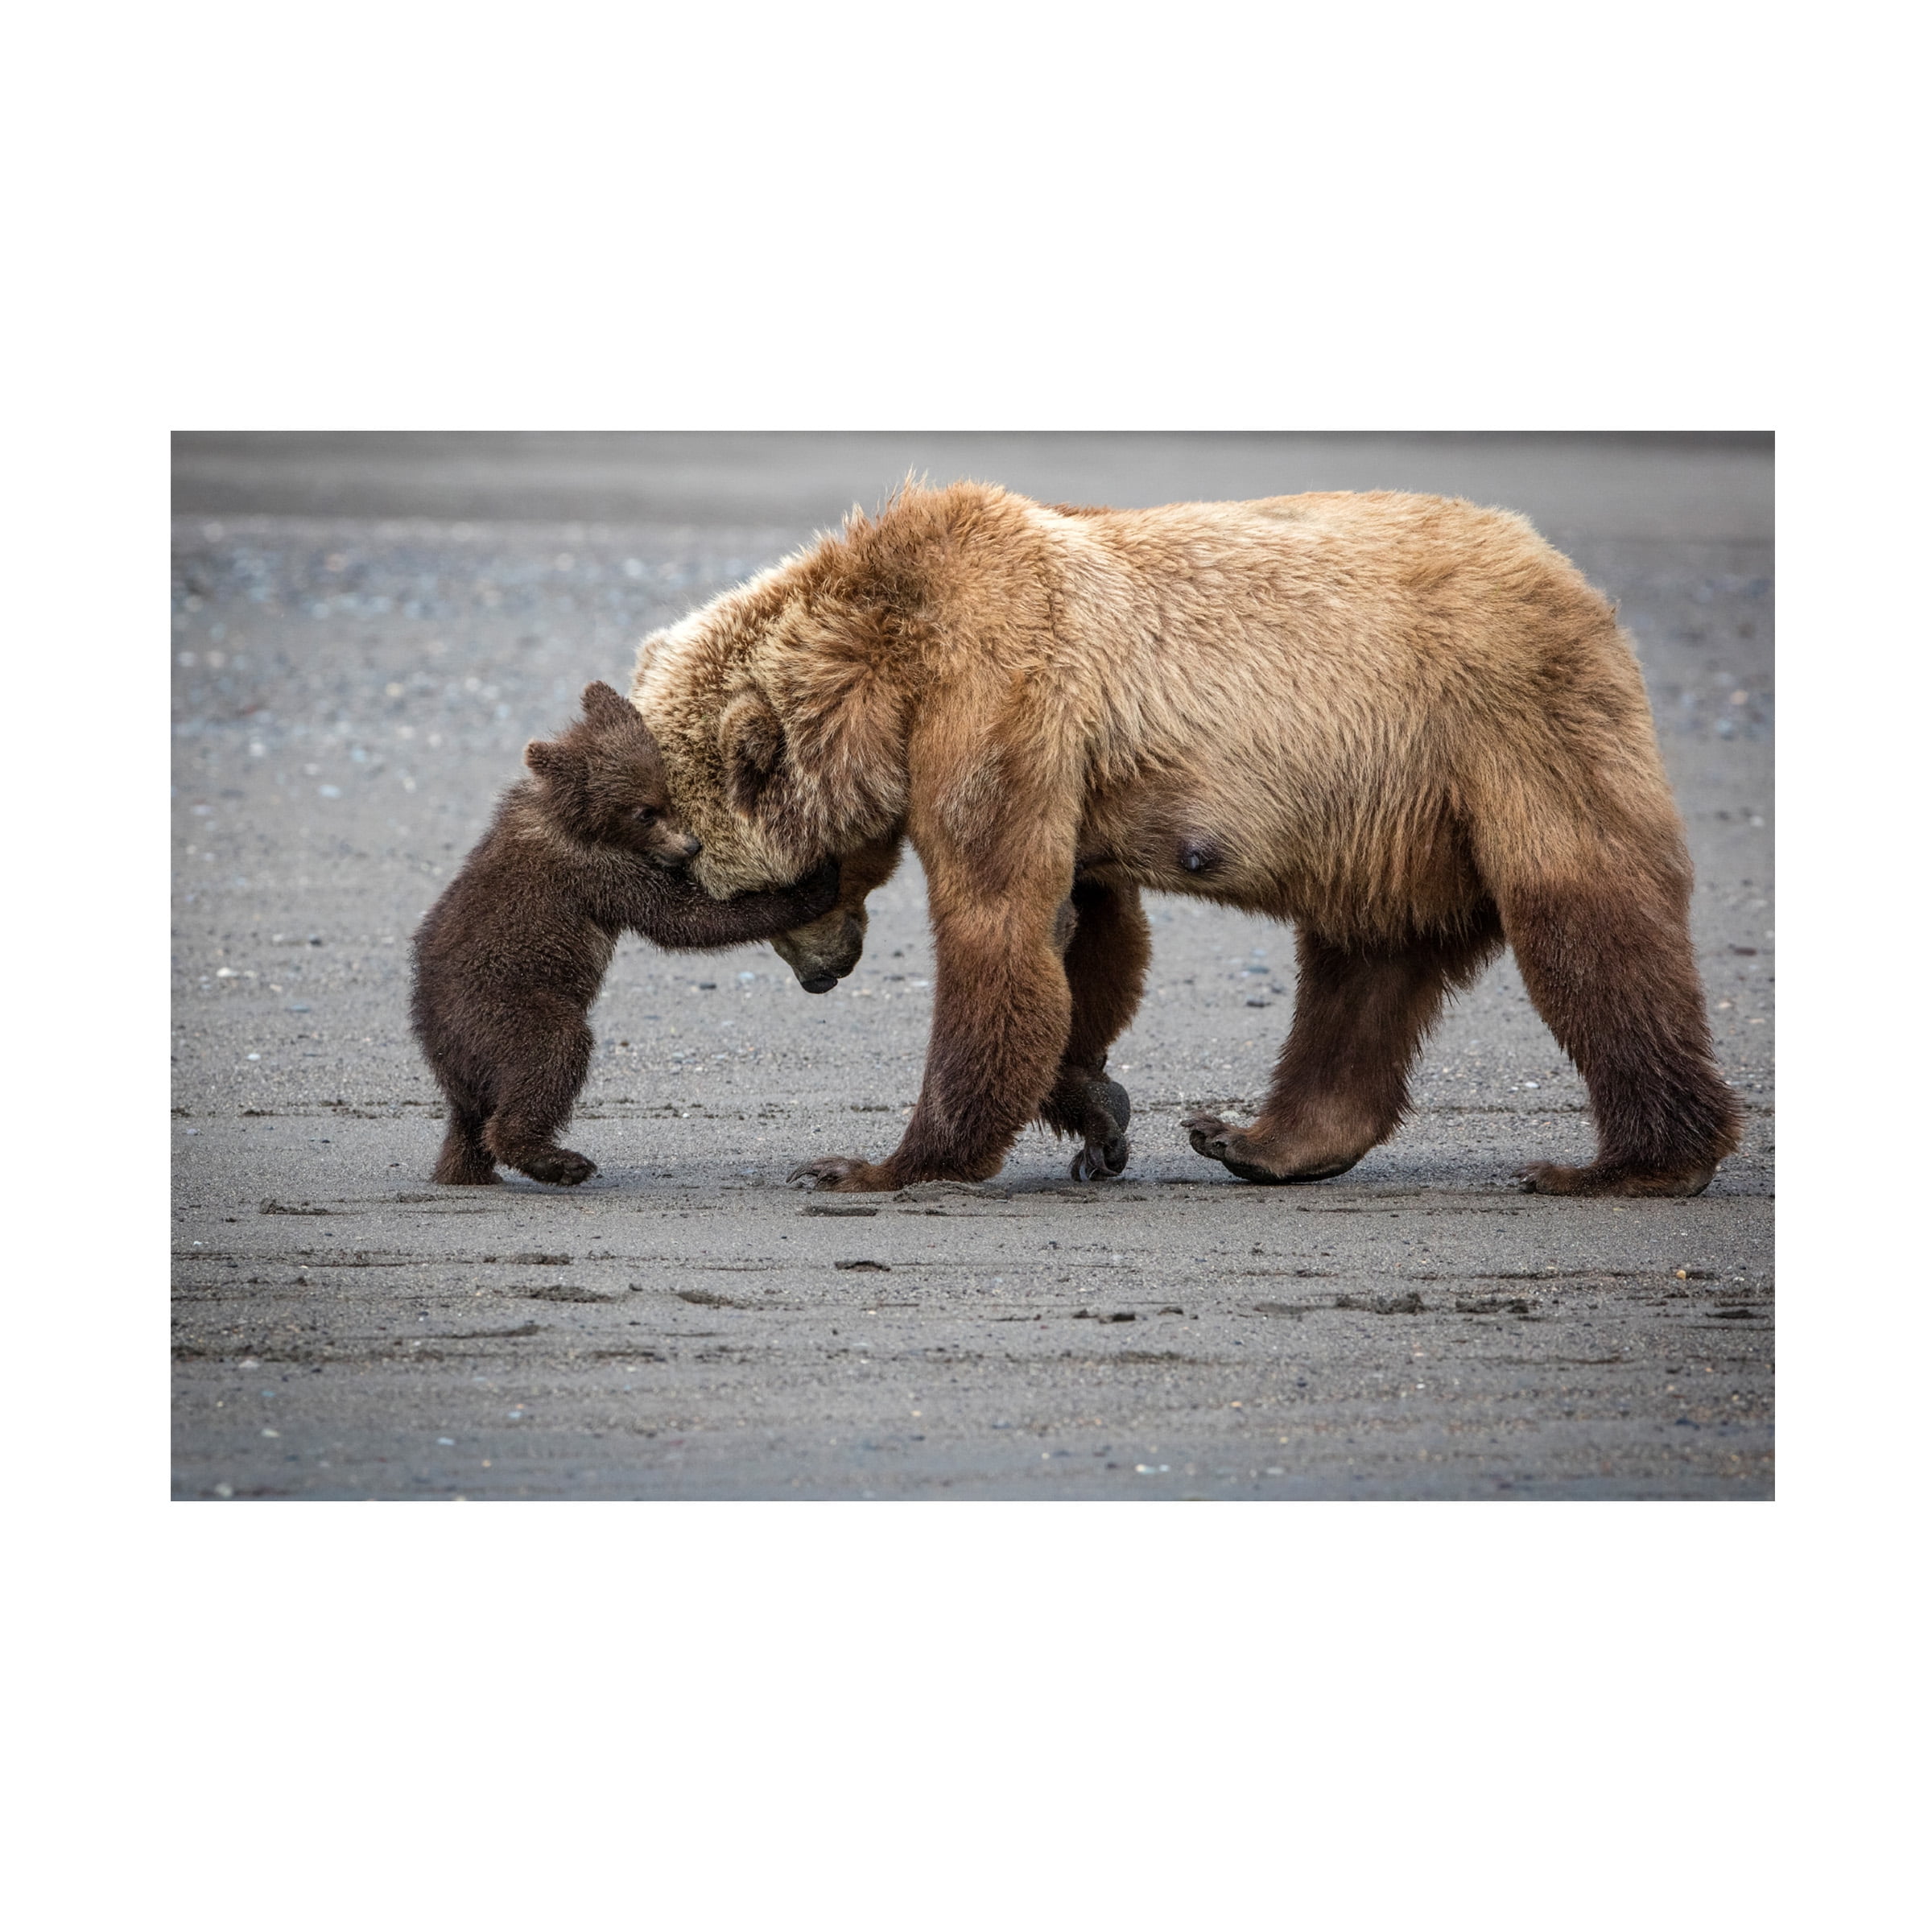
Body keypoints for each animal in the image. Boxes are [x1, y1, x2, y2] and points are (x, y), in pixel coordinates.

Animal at [409, 680, 839, 1187]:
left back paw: (467, 1171)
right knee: (552, 1053)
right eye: (643, 812)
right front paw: (814, 883)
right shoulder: (597, 870)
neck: (573, 819)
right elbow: (682, 918)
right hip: (504, 1008)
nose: (691, 846)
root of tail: (439, 1048)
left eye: (666, 795)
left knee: (469, 1122)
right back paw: (558, 1160)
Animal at [629, 483, 1741, 1199]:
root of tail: (1572, 577)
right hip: (1388, 816)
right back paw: (1259, 1139)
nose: (824, 974)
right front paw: (1098, 1112)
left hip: (1503, 725)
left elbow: (998, 924)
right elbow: (1084, 937)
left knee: (1586, 919)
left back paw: (1631, 1163)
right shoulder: (1061, 760)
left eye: (744, 892)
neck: (885, 664)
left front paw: (875, 1164)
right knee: (1364, 966)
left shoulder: (999, 694)